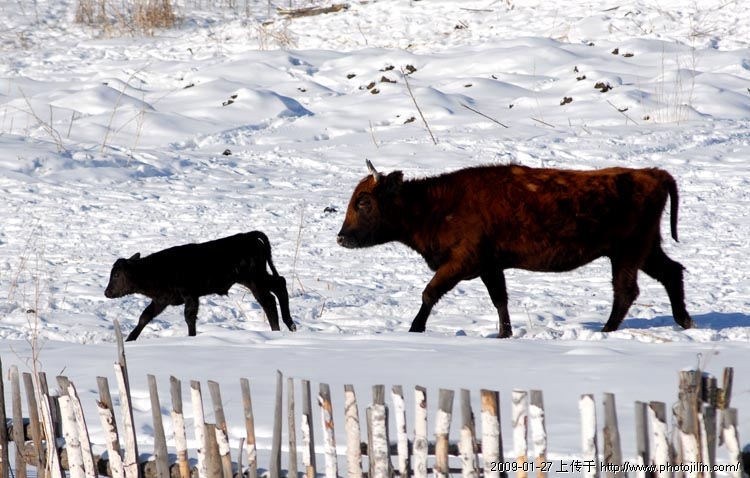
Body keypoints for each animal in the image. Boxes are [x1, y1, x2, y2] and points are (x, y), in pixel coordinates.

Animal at [105, 231, 296, 341]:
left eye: (116, 275)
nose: (107, 292)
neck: (157, 269)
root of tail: (249, 236)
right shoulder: (161, 300)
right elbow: (145, 316)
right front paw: (130, 339)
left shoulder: (190, 296)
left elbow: (189, 317)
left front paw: (191, 337)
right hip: (257, 278)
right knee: (279, 286)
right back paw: (289, 326)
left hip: (254, 280)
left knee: (269, 300)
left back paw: (279, 329)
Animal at [337, 160, 695, 338]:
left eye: (364, 202)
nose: (341, 238)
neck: (435, 204)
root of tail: (653, 174)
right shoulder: (490, 268)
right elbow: (500, 301)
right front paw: (503, 334)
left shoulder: (462, 263)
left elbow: (429, 293)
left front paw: (414, 329)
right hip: (644, 250)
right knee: (671, 272)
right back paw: (684, 321)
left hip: (627, 253)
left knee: (626, 290)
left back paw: (606, 330)